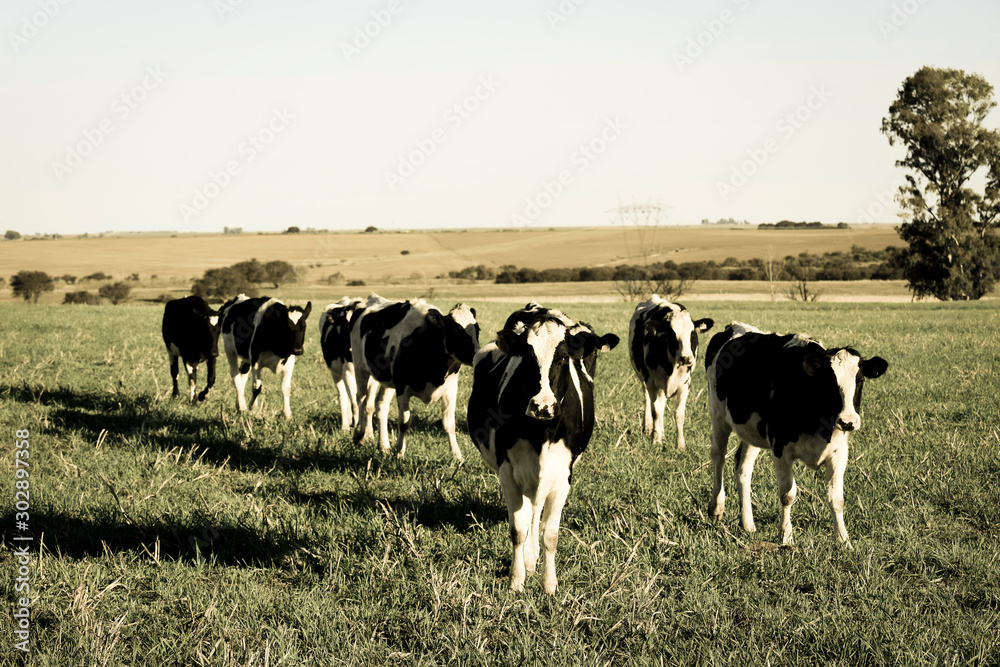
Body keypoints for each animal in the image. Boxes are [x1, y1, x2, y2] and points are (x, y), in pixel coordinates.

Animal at [318, 298, 366, 434]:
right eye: (345, 326)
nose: (351, 350)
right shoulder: (348, 372)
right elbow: (355, 404)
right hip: (336, 373)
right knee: (343, 396)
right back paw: (345, 425)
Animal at [350, 294, 478, 462]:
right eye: (456, 330)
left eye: (477, 330)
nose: (477, 354)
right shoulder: (402, 388)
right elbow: (404, 422)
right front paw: (399, 451)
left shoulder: (450, 389)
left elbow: (449, 423)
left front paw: (457, 455)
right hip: (360, 368)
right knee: (361, 399)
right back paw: (359, 434)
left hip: (388, 381)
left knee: (381, 406)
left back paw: (384, 446)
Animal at [466, 304, 616, 596]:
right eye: (526, 357)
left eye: (563, 357)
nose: (542, 406)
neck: (541, 434)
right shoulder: (507, 472)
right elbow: (518, 530)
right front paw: (517, 580)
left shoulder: (562, 476)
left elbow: (550, 534)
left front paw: (549, 584)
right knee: (529, 514)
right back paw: (528, 558)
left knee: (536, 513)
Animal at [628, 296, 716, 448]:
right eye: (672, 334)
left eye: (692, 333)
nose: (686, 358)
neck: (672, 366)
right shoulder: (652, 382)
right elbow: (656, 411)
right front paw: (656, 440)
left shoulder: (685, 384)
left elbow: (679, 414)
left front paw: (680, 445)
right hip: (644, 379)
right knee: (649, 401)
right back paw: (650, 428)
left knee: (662, 404)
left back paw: (661, 433)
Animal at [704, 322, 892, 548]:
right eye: (828, 382)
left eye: (860, 380)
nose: (848, 421)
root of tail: (735, 327)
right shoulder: (781, 449)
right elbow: (787, 495)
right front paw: (786, 536)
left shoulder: (839, 454)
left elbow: (837, 499)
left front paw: (843, 540)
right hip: (718, 415)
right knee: (718, 456)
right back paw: (716, 507)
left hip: (751, 431)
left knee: (743, 469)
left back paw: (747, 523)